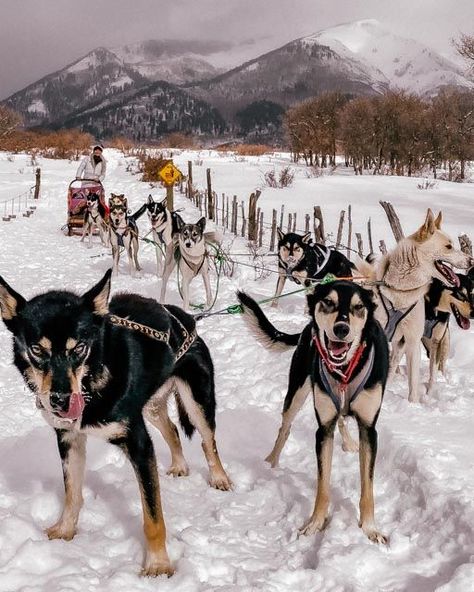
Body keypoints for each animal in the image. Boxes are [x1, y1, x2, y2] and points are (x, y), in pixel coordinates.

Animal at [0, 270, 231, 576]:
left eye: (80, 347)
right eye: (37, 349)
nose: (60, 400)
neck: (92, 382)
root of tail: (187, 318)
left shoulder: (139, 445)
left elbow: (153, 517)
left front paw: (158, 565)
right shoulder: (69, 439)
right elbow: (72, 493)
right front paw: (65, 530)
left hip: (197, 402)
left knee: (209, 441)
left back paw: (220, 478)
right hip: (152, 407)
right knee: (171, 430)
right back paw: (180, 465)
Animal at [237, 282, 388, 544]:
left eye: (359, 307)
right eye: (328, 302)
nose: (341, 328)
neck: (344, 370)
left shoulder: (369, 430)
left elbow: (367, 488)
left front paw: (370, 528)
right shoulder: (323, 430)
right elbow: (323, 486)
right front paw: (315, 524)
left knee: (342, 419)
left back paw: (349, 442)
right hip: (296, 393)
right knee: (285, 428)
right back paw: (270, 462)